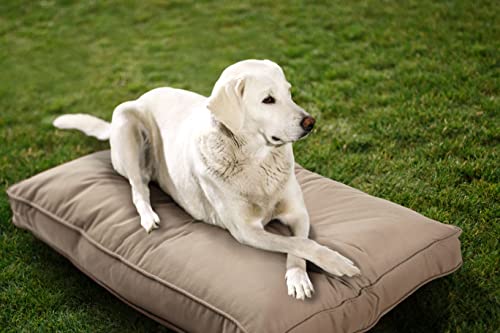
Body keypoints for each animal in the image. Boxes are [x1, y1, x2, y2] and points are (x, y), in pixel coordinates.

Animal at [53, 59, 360, 298]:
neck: (256, 160)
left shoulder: (298, 214)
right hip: (127, 122)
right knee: (138, 188)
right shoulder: (245, 231)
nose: (311, 122)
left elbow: (300, 244)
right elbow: (301, 244)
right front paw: (339, 263)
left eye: (289, 93)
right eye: (268, 100)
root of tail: (141, 96)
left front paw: (298, 278)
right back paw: (149, 217)